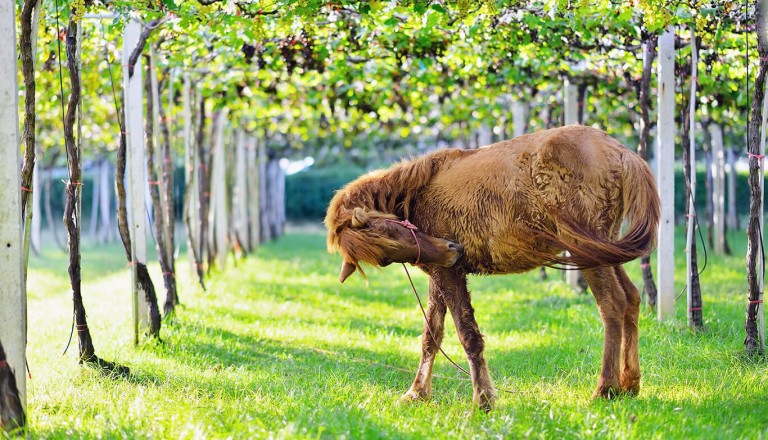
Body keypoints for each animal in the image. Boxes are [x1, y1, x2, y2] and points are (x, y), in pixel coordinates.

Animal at [324, 125, 660, 410]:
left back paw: (605, 388)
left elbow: (468, 335)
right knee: (632, 298)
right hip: (604, 248)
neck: (419, 189)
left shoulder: (450, 273)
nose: (453, 250)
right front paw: (417, 393)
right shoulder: (440, 273)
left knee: (612, 304)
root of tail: (620, 151)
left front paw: (483, 399)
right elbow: (431, 336)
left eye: (389, 229)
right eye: (382, 257)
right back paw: (629, 384)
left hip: (589, 253)